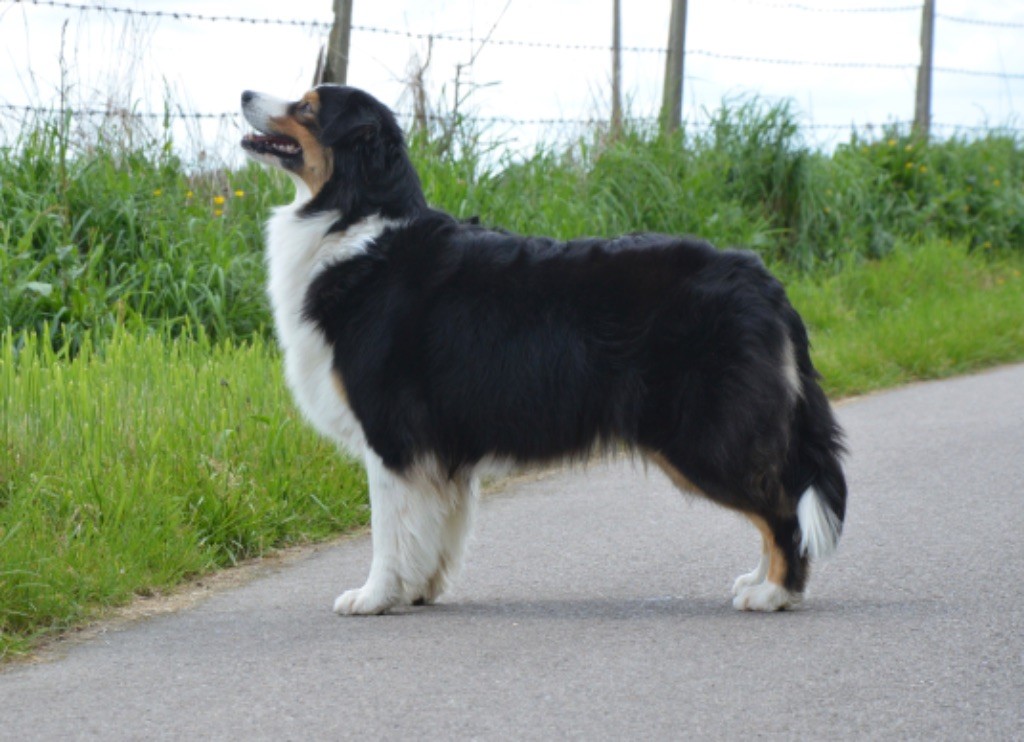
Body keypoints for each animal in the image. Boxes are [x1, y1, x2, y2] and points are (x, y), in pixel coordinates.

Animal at [241, 83, 847, 614]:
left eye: (308, 107)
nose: (244, 94)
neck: (355, 220)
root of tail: (761, 279)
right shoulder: (437, 449)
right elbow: (436, 528)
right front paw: (418, 591)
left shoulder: (392, 435)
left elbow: (389, 531)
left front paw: (373, 597)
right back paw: (759, 580)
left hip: (702, 432)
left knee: (782, 509)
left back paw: (774, 593)